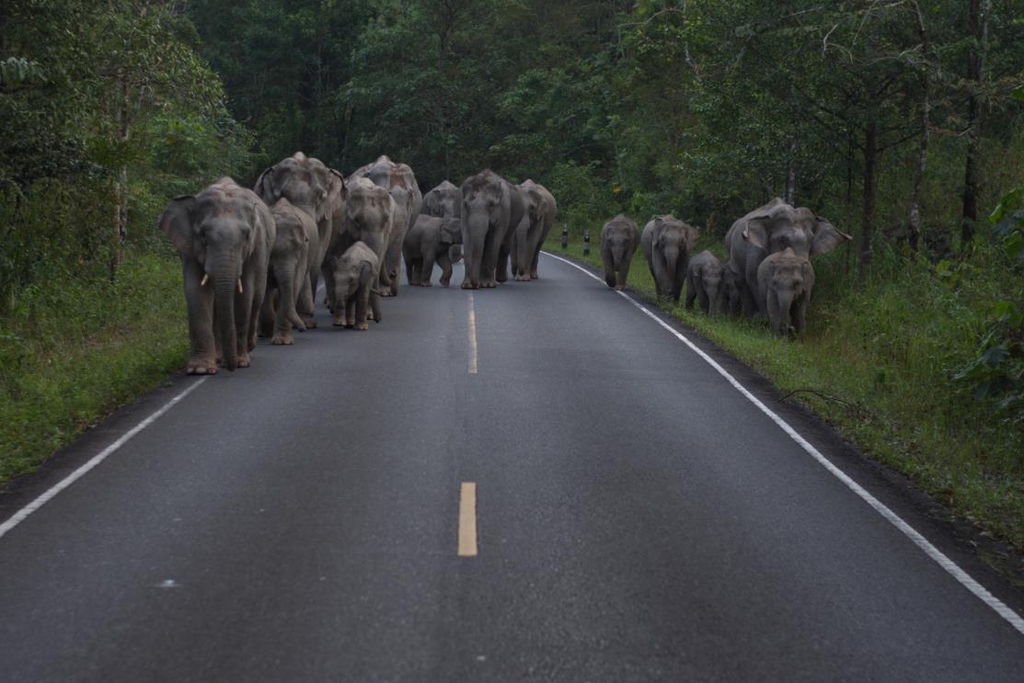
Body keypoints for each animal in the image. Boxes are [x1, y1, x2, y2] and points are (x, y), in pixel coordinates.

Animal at [157, 176, 274, 374]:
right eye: (203, 235)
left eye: (247, 236)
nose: (231, 368)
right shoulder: (189, 247)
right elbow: (195, 291)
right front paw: (200, 369)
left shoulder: (255, 249)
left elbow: (244, 294)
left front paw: (240, 362)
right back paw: (220, 357)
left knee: (256, 296)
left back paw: (247, 347)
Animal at [253, 152, 346, 327]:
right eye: (284, 195)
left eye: (320, 197)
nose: (310, 312)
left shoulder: (325, 220)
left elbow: (316, 259)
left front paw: (306, 321)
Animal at [258, 198, 313, 348]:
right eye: (272, 252)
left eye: (297, 250)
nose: (302, 329)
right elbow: (265, 287)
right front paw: (268, 332)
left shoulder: (303, 254)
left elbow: (293, 285)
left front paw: (282, 342)